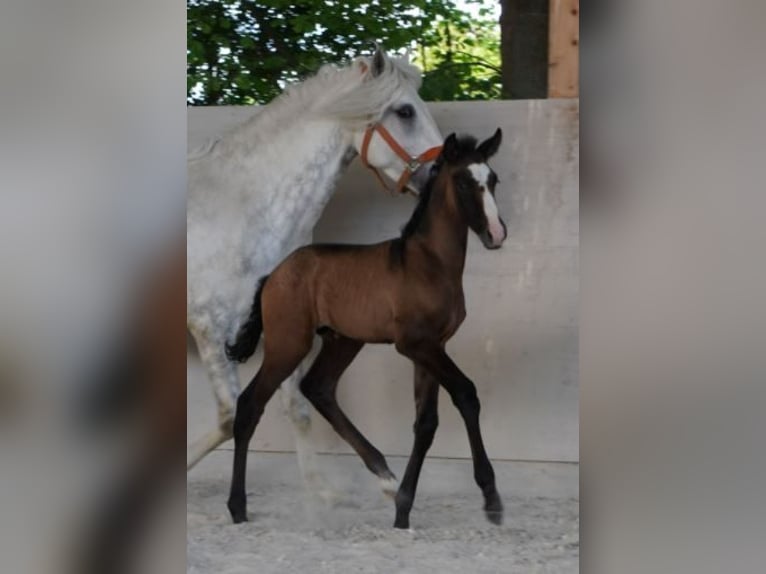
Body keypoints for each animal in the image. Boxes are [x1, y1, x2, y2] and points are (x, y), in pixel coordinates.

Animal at [185, 46, 444, 496]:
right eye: (406, 111)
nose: (440, 170)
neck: (245, 209)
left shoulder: (282, 323)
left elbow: (295, 407)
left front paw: (321, 492)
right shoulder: (208, 327)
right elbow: (229, 418)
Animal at [225, 128, 508, 528]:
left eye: (493, 179)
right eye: (464, 182)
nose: (496, 234)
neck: (430, 263)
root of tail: (272, 275)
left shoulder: (432, 348)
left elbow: (426, 423)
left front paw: (403, 508)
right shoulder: (417, 346)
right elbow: (466, 395)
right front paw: (491, 498)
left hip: (343, 341)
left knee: (319, 388)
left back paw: (385, 477)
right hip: (288, 344)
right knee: (250, 405)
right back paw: (237, 507)